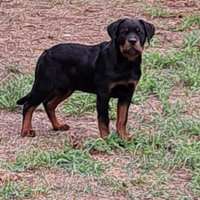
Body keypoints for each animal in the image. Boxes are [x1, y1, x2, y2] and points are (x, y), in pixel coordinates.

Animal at [16, 18, 155, 141]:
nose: (132, 41)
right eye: (123, 32)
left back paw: (58, 125)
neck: (126, 62)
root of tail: (45, 53)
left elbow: (122, 118)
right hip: (45, 85)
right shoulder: (103, 94)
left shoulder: (127, 94)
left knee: (48, 104)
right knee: (29, 105)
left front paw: (123, 136)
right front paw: (106, 139)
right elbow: (104, 119)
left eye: (140, 33)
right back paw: (27, 130)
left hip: (65, 88)